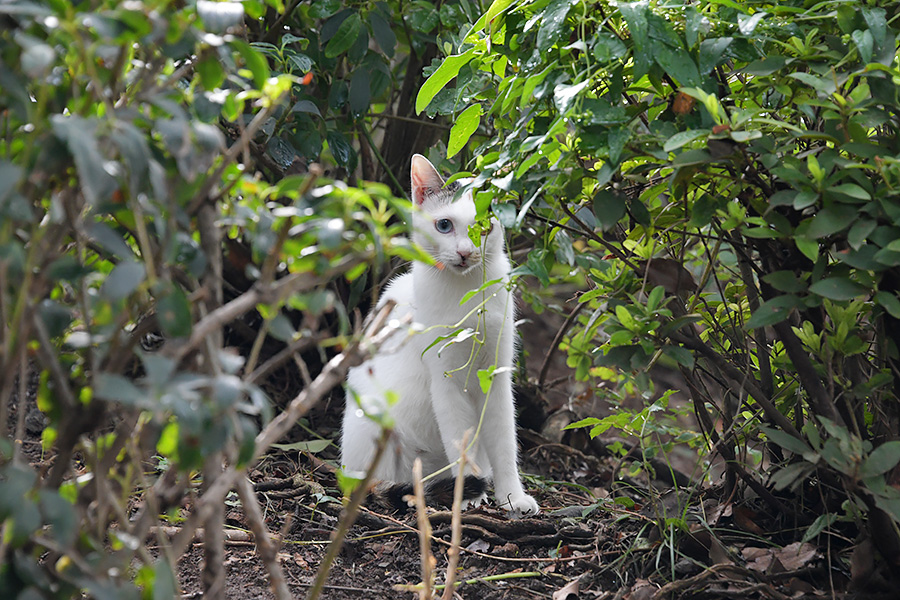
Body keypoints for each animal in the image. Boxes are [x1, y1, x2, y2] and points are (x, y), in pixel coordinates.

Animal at [342, 154, 536, 516]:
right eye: (444, 225)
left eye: (484, 227)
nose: (464, 252)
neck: (465, 292)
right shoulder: (445, 381)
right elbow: (460, 441)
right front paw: (468, 494)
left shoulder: (496, 376)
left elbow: (505, 443)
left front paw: (512, 496)